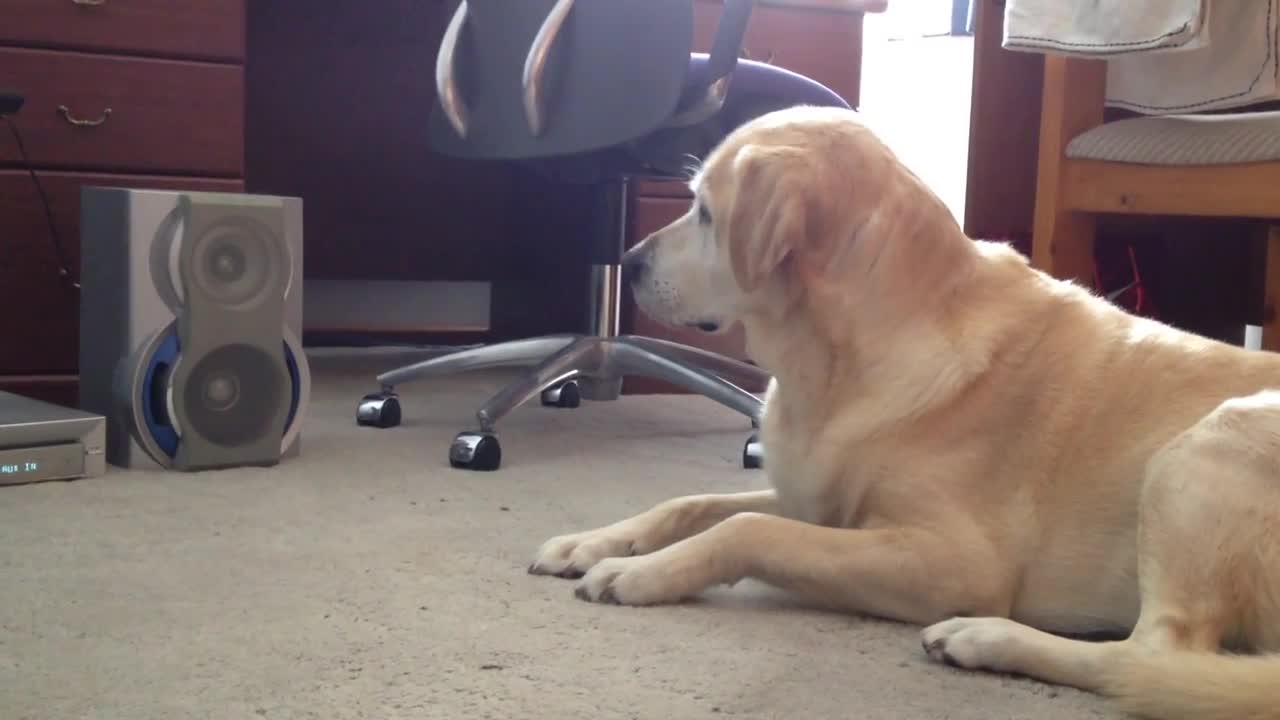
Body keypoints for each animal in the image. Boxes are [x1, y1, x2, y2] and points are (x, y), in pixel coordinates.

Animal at [524, 103, 1274, 712]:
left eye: (706, 212)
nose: (627, 260)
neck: (834, 365)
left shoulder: (951, 559)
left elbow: (745, 528)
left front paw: (635, 572)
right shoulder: (818, 503)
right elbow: (692, 502)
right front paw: (592, 542)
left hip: (1205, 446)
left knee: (1155, 655)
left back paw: (987, 638)